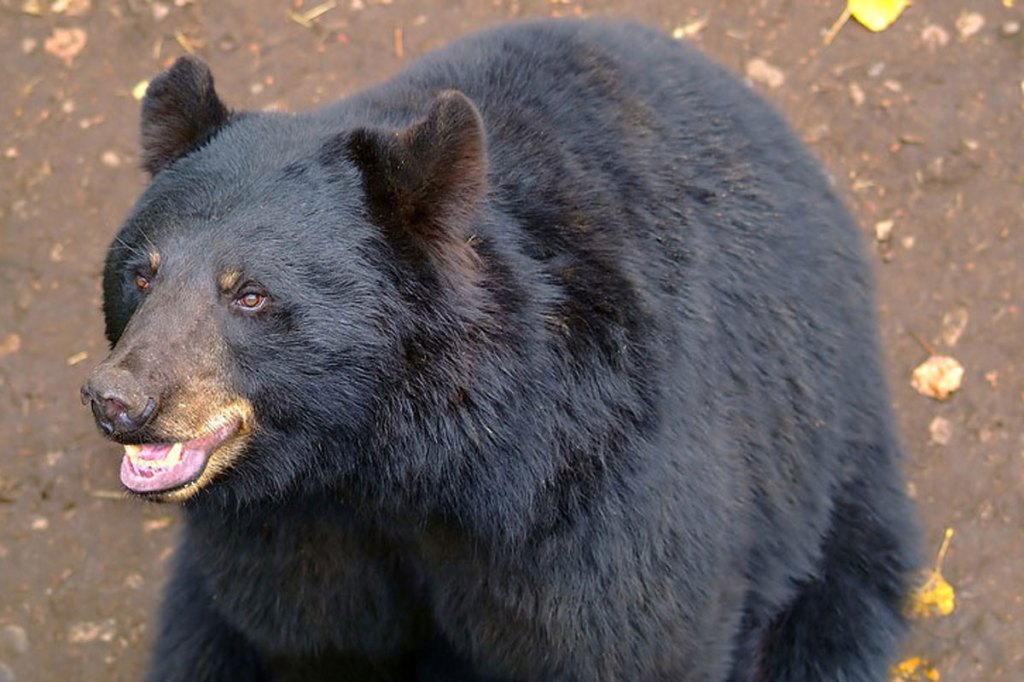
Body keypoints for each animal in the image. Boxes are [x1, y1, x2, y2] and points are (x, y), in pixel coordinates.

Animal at [81, 19, 918, 682]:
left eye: (249, 293)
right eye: (141, 273)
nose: (120, 401)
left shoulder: (596, 493)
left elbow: (638, 637)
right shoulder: (286, 538)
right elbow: (314, 636)